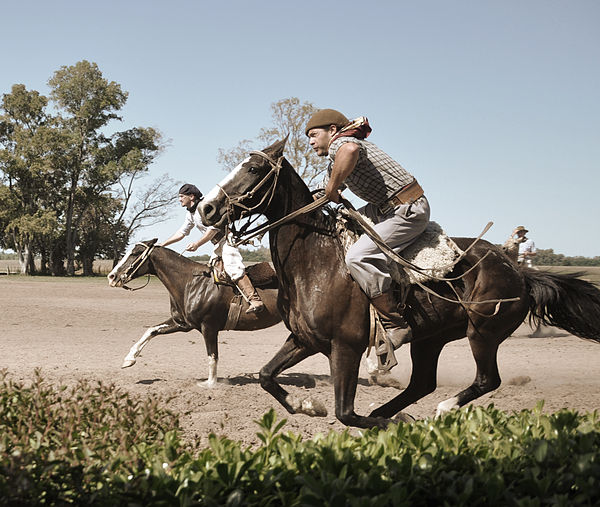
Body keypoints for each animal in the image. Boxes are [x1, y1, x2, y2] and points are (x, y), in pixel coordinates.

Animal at [107, 240, 282, 386]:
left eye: (135, 253)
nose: (112, 276)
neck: (191, 283)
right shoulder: (182, 324)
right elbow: (152, 330)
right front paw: (129, 359)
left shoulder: (208, 327)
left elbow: (212, 356)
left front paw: (210, 384)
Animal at [200, 139, 600, 428]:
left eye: (252, 168)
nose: (206, 208)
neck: (315, 260)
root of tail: (519, 272)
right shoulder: (304, 339)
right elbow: (267, 375)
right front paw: (308, 405)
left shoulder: (345, 346)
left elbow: (346, 413)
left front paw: (384, 421)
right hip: (431, 339)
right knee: (423, 383)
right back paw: (397, 411)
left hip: (482, 334)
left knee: (487, 380)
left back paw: (440, 410)